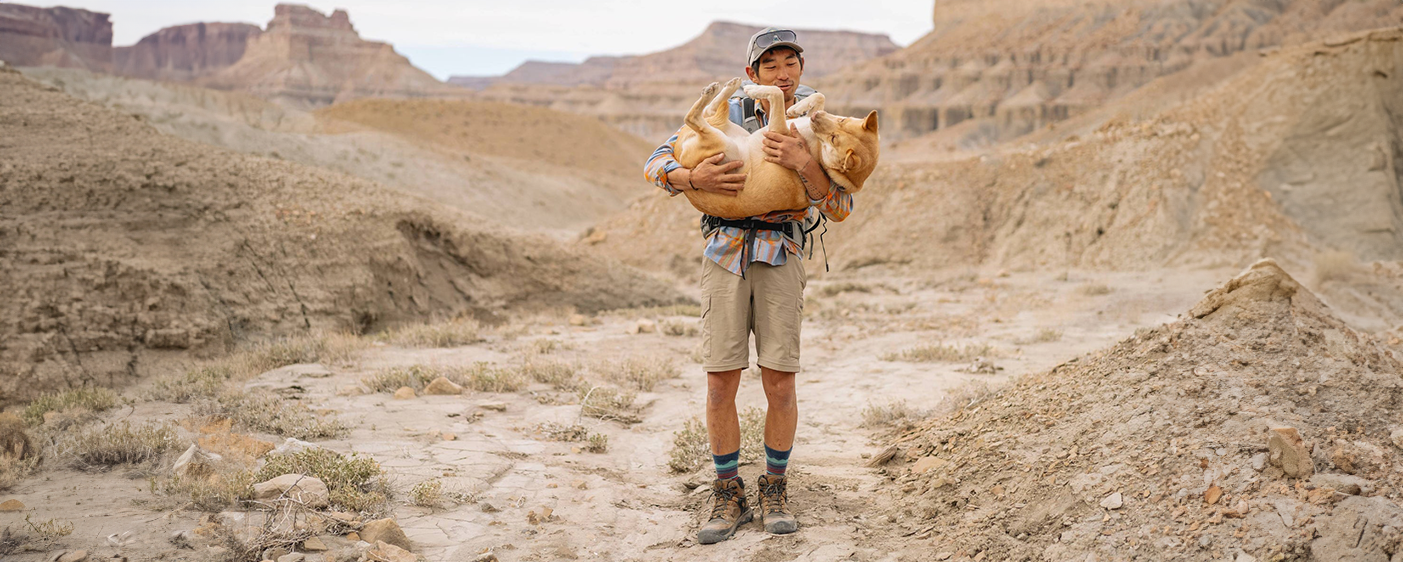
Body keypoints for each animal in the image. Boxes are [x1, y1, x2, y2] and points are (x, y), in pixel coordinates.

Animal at [670, 77, 875, 217]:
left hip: (724, 144)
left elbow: (777, 92)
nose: (816, 118)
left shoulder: (776, 129)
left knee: (693, 118)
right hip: (728, 129)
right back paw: (728, 87)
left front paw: (754, 89)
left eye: (833, 139)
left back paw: (716, 91)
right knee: (709, 111)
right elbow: (819, 96)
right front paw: (798, 107)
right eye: (843, 120)